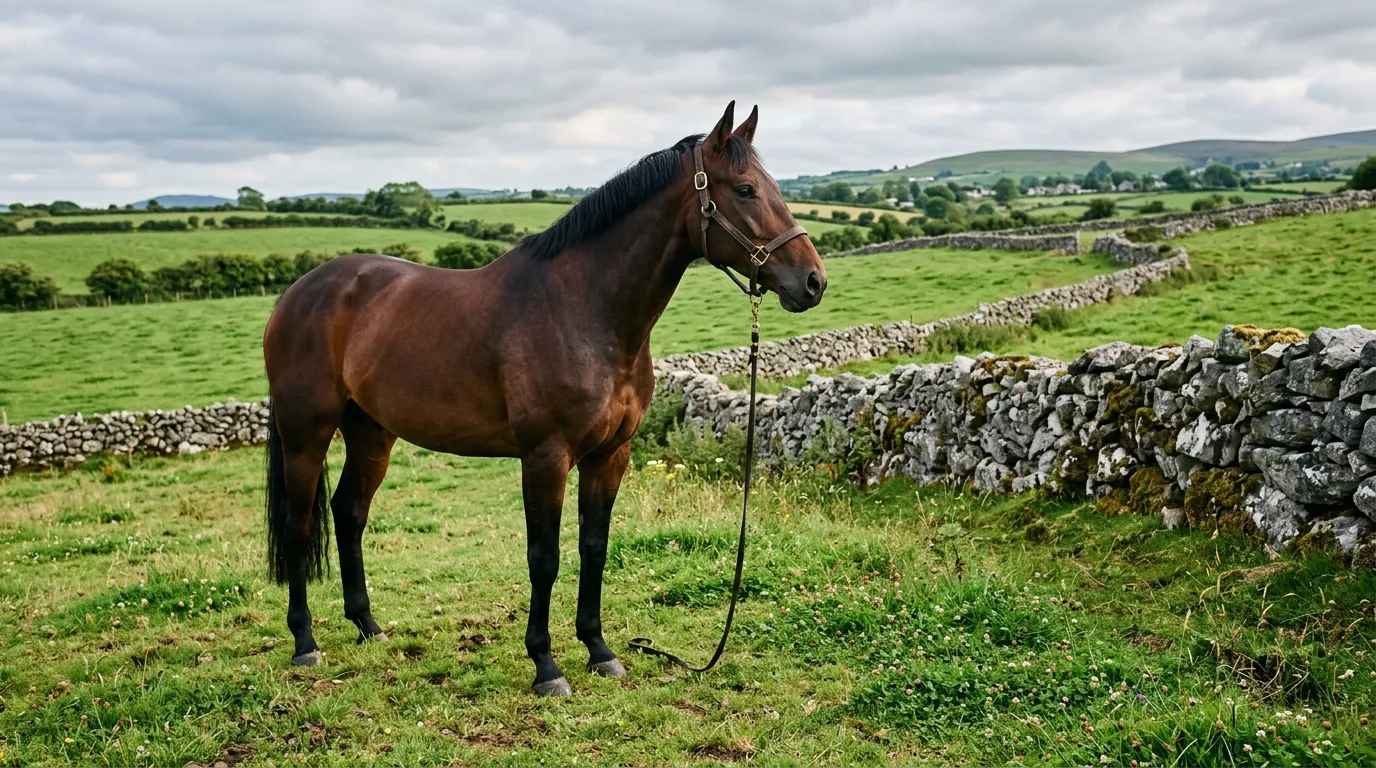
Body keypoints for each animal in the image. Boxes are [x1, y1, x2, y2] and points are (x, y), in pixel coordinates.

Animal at [262, 101, 827, 696]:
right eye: (744, 189)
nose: (813, 281)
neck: (583, 309)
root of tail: (297, 293)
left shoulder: (610, 455)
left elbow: (594, 548)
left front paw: (600, 650)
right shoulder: (545, 457)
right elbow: (545, 558)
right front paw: (546, 665)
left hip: (371, 431)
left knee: (349, 512)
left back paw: (368, 626)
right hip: (305, 435)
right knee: (300, 526)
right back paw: (305, 642)